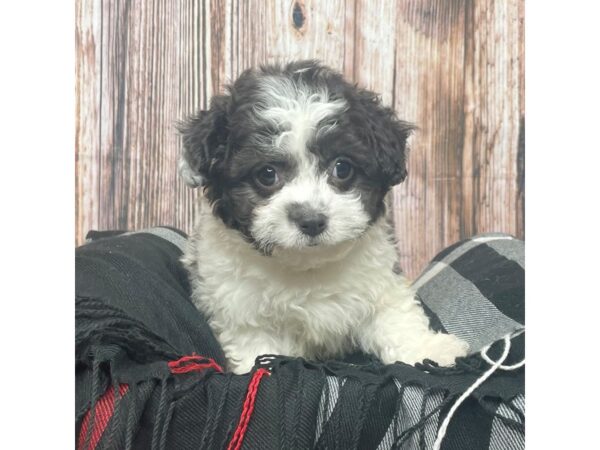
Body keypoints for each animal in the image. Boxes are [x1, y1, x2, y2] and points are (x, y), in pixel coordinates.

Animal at [178, 60, 468, 376]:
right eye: (267, 174)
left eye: (342, 168)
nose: (312, 220)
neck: (308, 267)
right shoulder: (241, 310)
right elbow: (258, 349)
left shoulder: (379, 281)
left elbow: (396, 316)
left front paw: (428, 351)